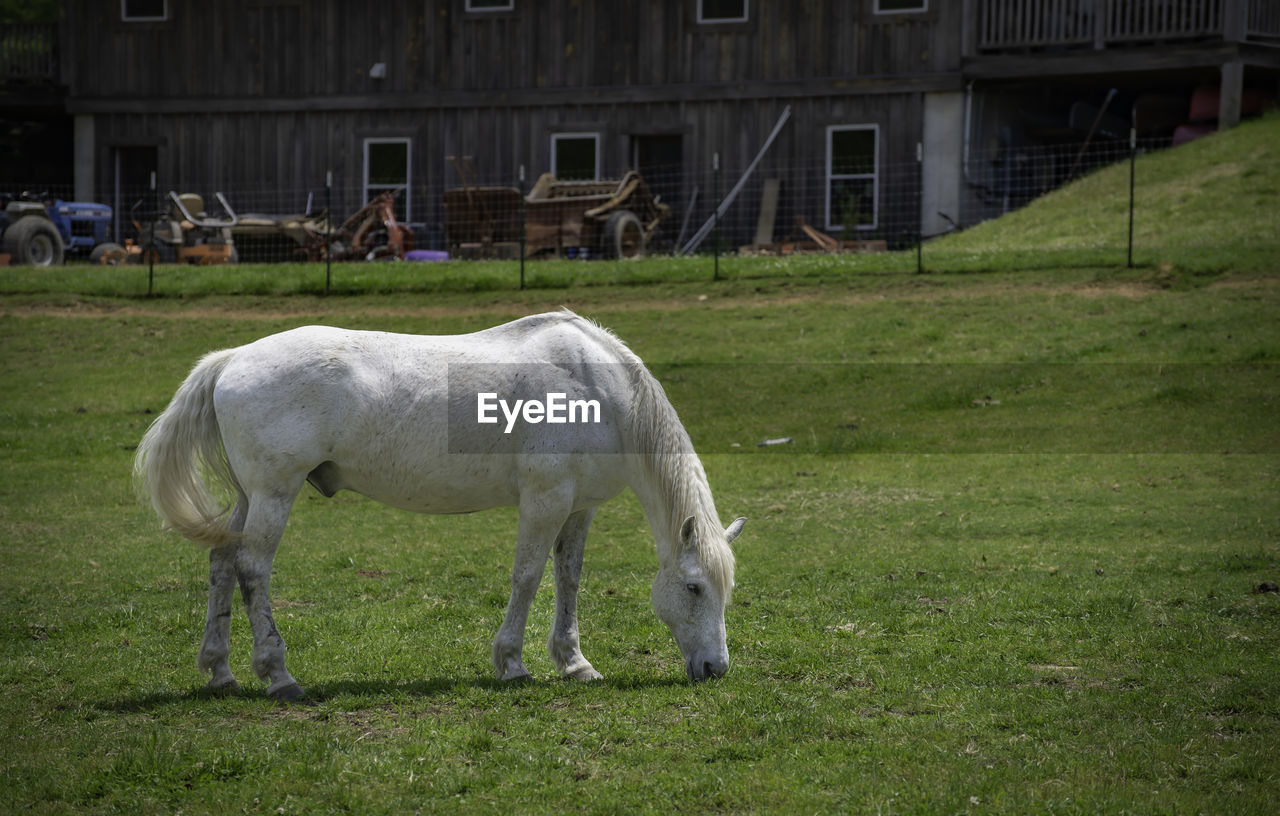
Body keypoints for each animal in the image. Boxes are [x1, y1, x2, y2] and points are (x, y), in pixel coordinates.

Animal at [135, 309, 747, 700]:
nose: (716, 668)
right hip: (273, 494)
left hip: (249, 497)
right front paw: (512, 664)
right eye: (695, 587)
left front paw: (575, 664)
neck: (599, 392)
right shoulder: (544, 498)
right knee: (251, 569)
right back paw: (279, 676)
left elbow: (568, 578)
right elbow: (528, 576)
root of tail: (233, 358)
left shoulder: (579, 506)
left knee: (220, 563)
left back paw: (221, 672)